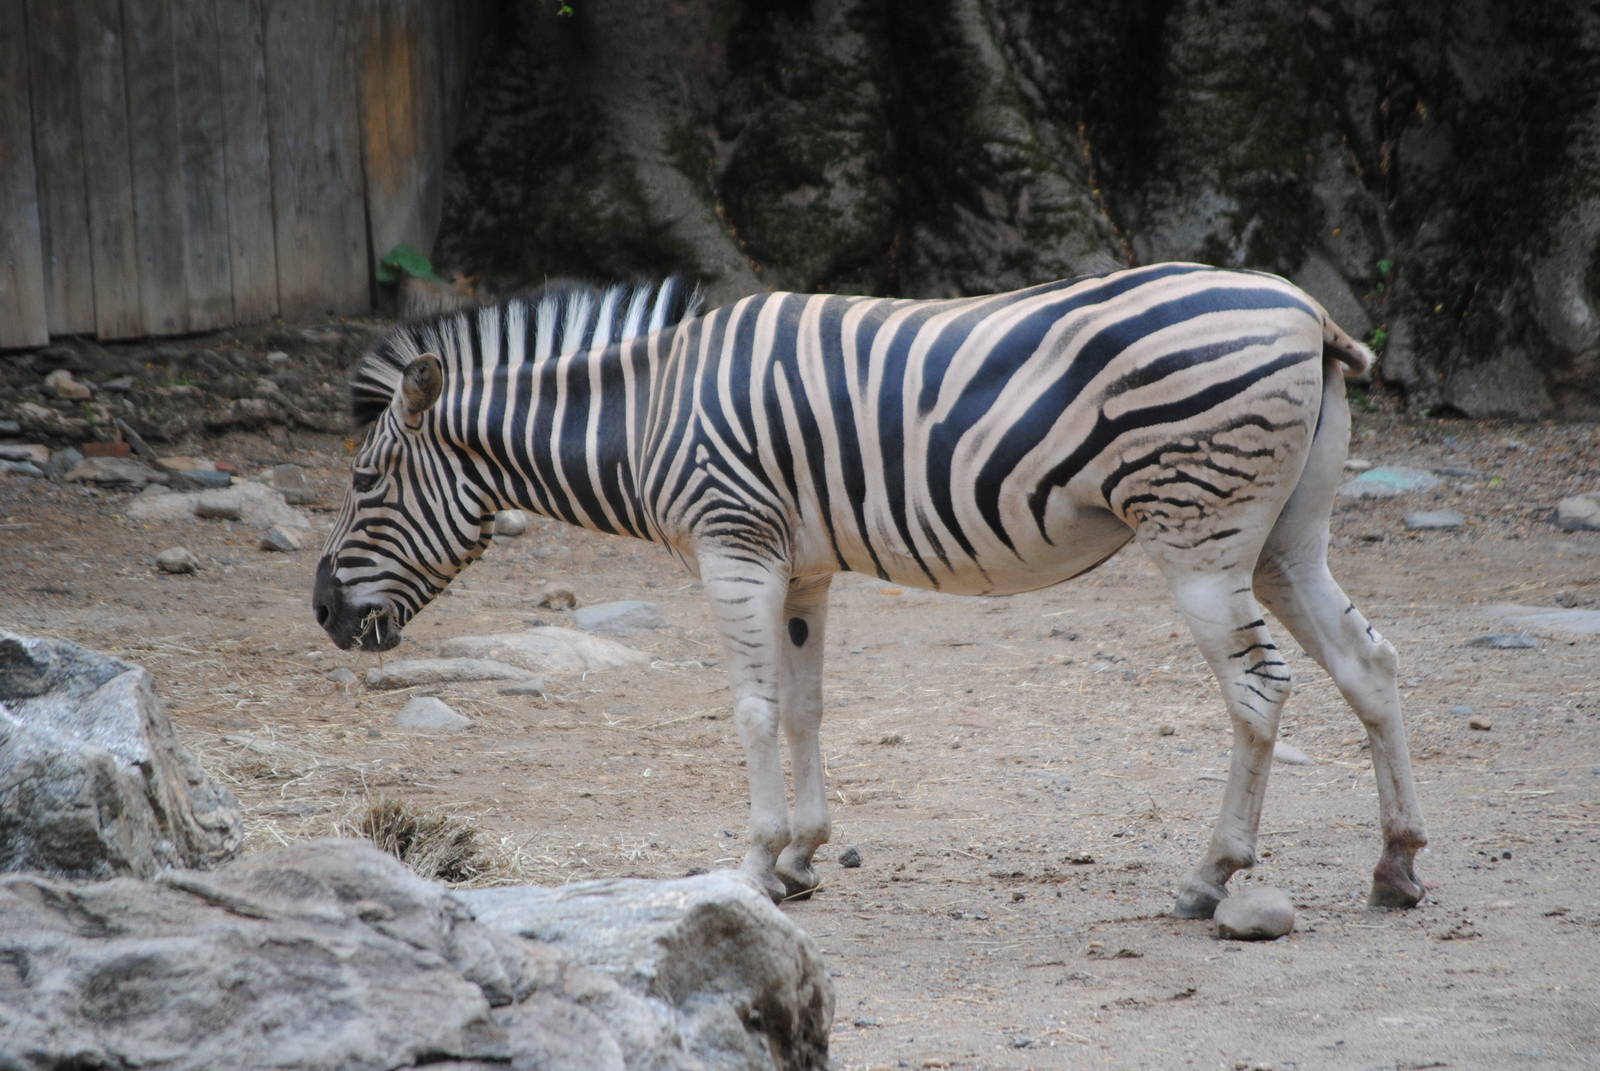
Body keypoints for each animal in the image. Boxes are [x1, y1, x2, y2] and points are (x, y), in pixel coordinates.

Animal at [313, 263, 1427, 919]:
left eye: (365, 483)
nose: (321, 612)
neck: (649, 414)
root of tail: (1306, 310)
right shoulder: (800, 566)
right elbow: (805, 706)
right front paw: (803, 859)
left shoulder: (733, 546)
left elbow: (753, 709)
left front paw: (753, 864)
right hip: (1287, 539)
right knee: (1370, 661)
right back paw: (1397, 864)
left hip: (1198, 539)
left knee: (1259, 689)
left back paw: (1210, 876)